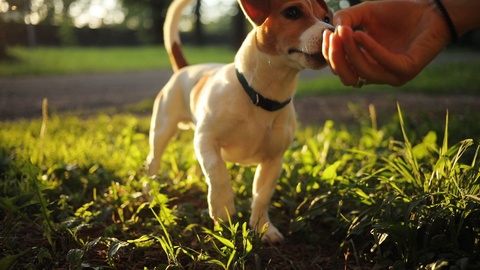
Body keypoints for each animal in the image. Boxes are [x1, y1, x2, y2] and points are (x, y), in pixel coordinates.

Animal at [147, 0, 334, 244]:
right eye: (292, 12)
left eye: (327, 18)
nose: (333, 32)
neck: (259, 96)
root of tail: (185, 69)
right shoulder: (207, 140)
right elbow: (217, 172)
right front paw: (222, 208)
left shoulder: (273, 160)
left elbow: (261, 195)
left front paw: (264, 228)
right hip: (162, 128)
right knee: (154, 160)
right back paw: (150, 189)